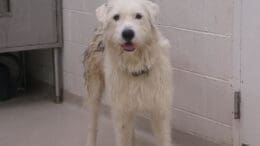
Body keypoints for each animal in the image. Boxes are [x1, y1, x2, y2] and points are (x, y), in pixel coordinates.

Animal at [84, 0, 173, 146]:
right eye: (116, 17)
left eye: (138, 16)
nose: (127, 34)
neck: (136, 65)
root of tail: (99, 28)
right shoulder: (121, 112)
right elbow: (122, 137)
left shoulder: (159, 110)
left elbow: (163, 138)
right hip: (94, 91)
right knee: (92, 124)